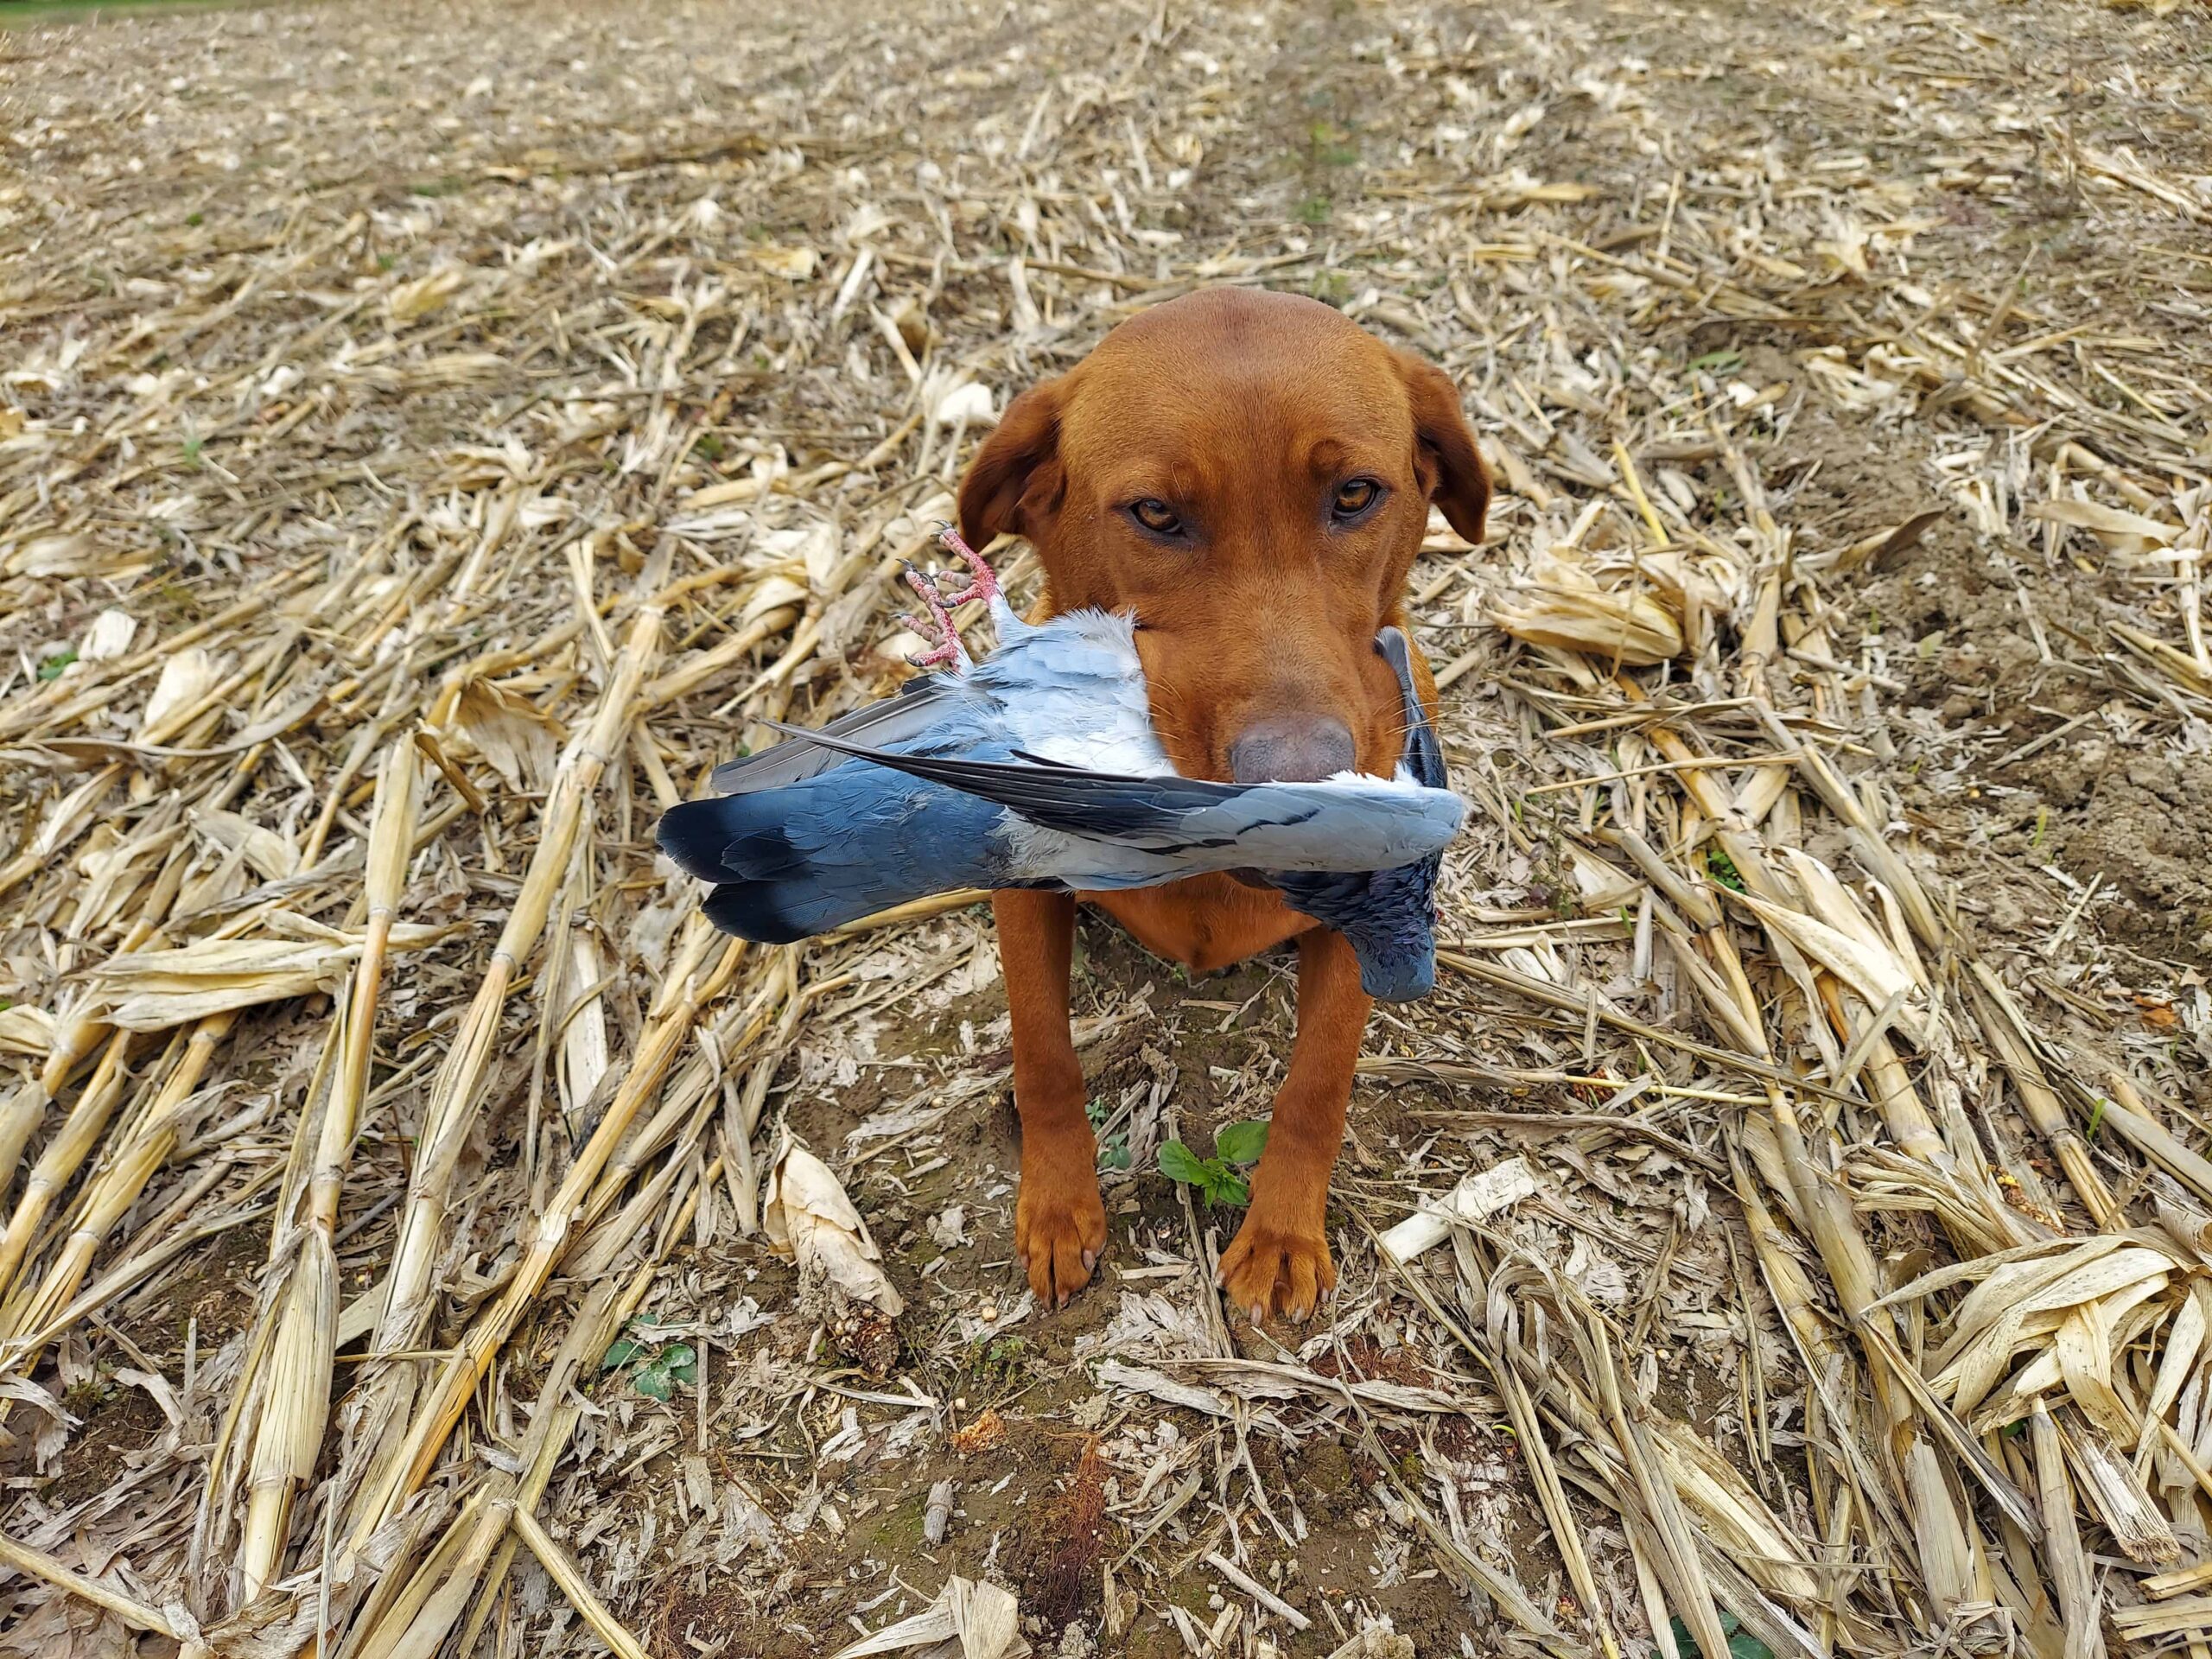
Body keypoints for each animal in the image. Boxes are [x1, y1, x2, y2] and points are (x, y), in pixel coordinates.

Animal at [950, 285, 1486, 1327]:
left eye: (1354, 495)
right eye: (1156, 513)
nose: (1301, 783)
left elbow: (1318, 1081)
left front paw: (1281, 1234)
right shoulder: (1025, 899)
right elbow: (1042, 1049)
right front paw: (1058, 1203)